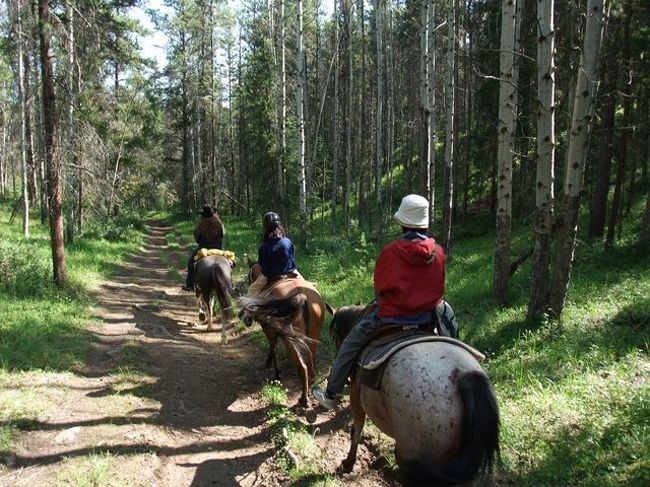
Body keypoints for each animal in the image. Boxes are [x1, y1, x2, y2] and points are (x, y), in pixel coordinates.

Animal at [237, 260, 330, 408]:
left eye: (249, 276)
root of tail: (302, 296)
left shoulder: (269, 330)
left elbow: (273, 347)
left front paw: (275, 373)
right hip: (313, 335)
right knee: (310, 363)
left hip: (290, 340)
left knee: (302, 367)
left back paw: (304, 400)